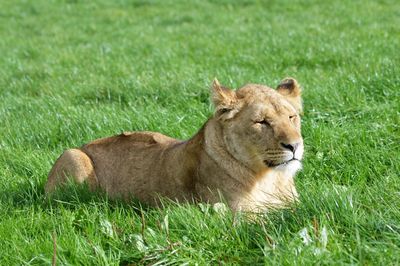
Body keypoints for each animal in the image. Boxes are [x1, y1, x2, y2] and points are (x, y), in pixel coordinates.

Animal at [44, 77, 304, 212]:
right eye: (262, 122)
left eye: (292, 117)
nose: (294, 146)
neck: (270, 179)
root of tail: (86, 144)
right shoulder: (235, 214)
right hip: (73, 155)